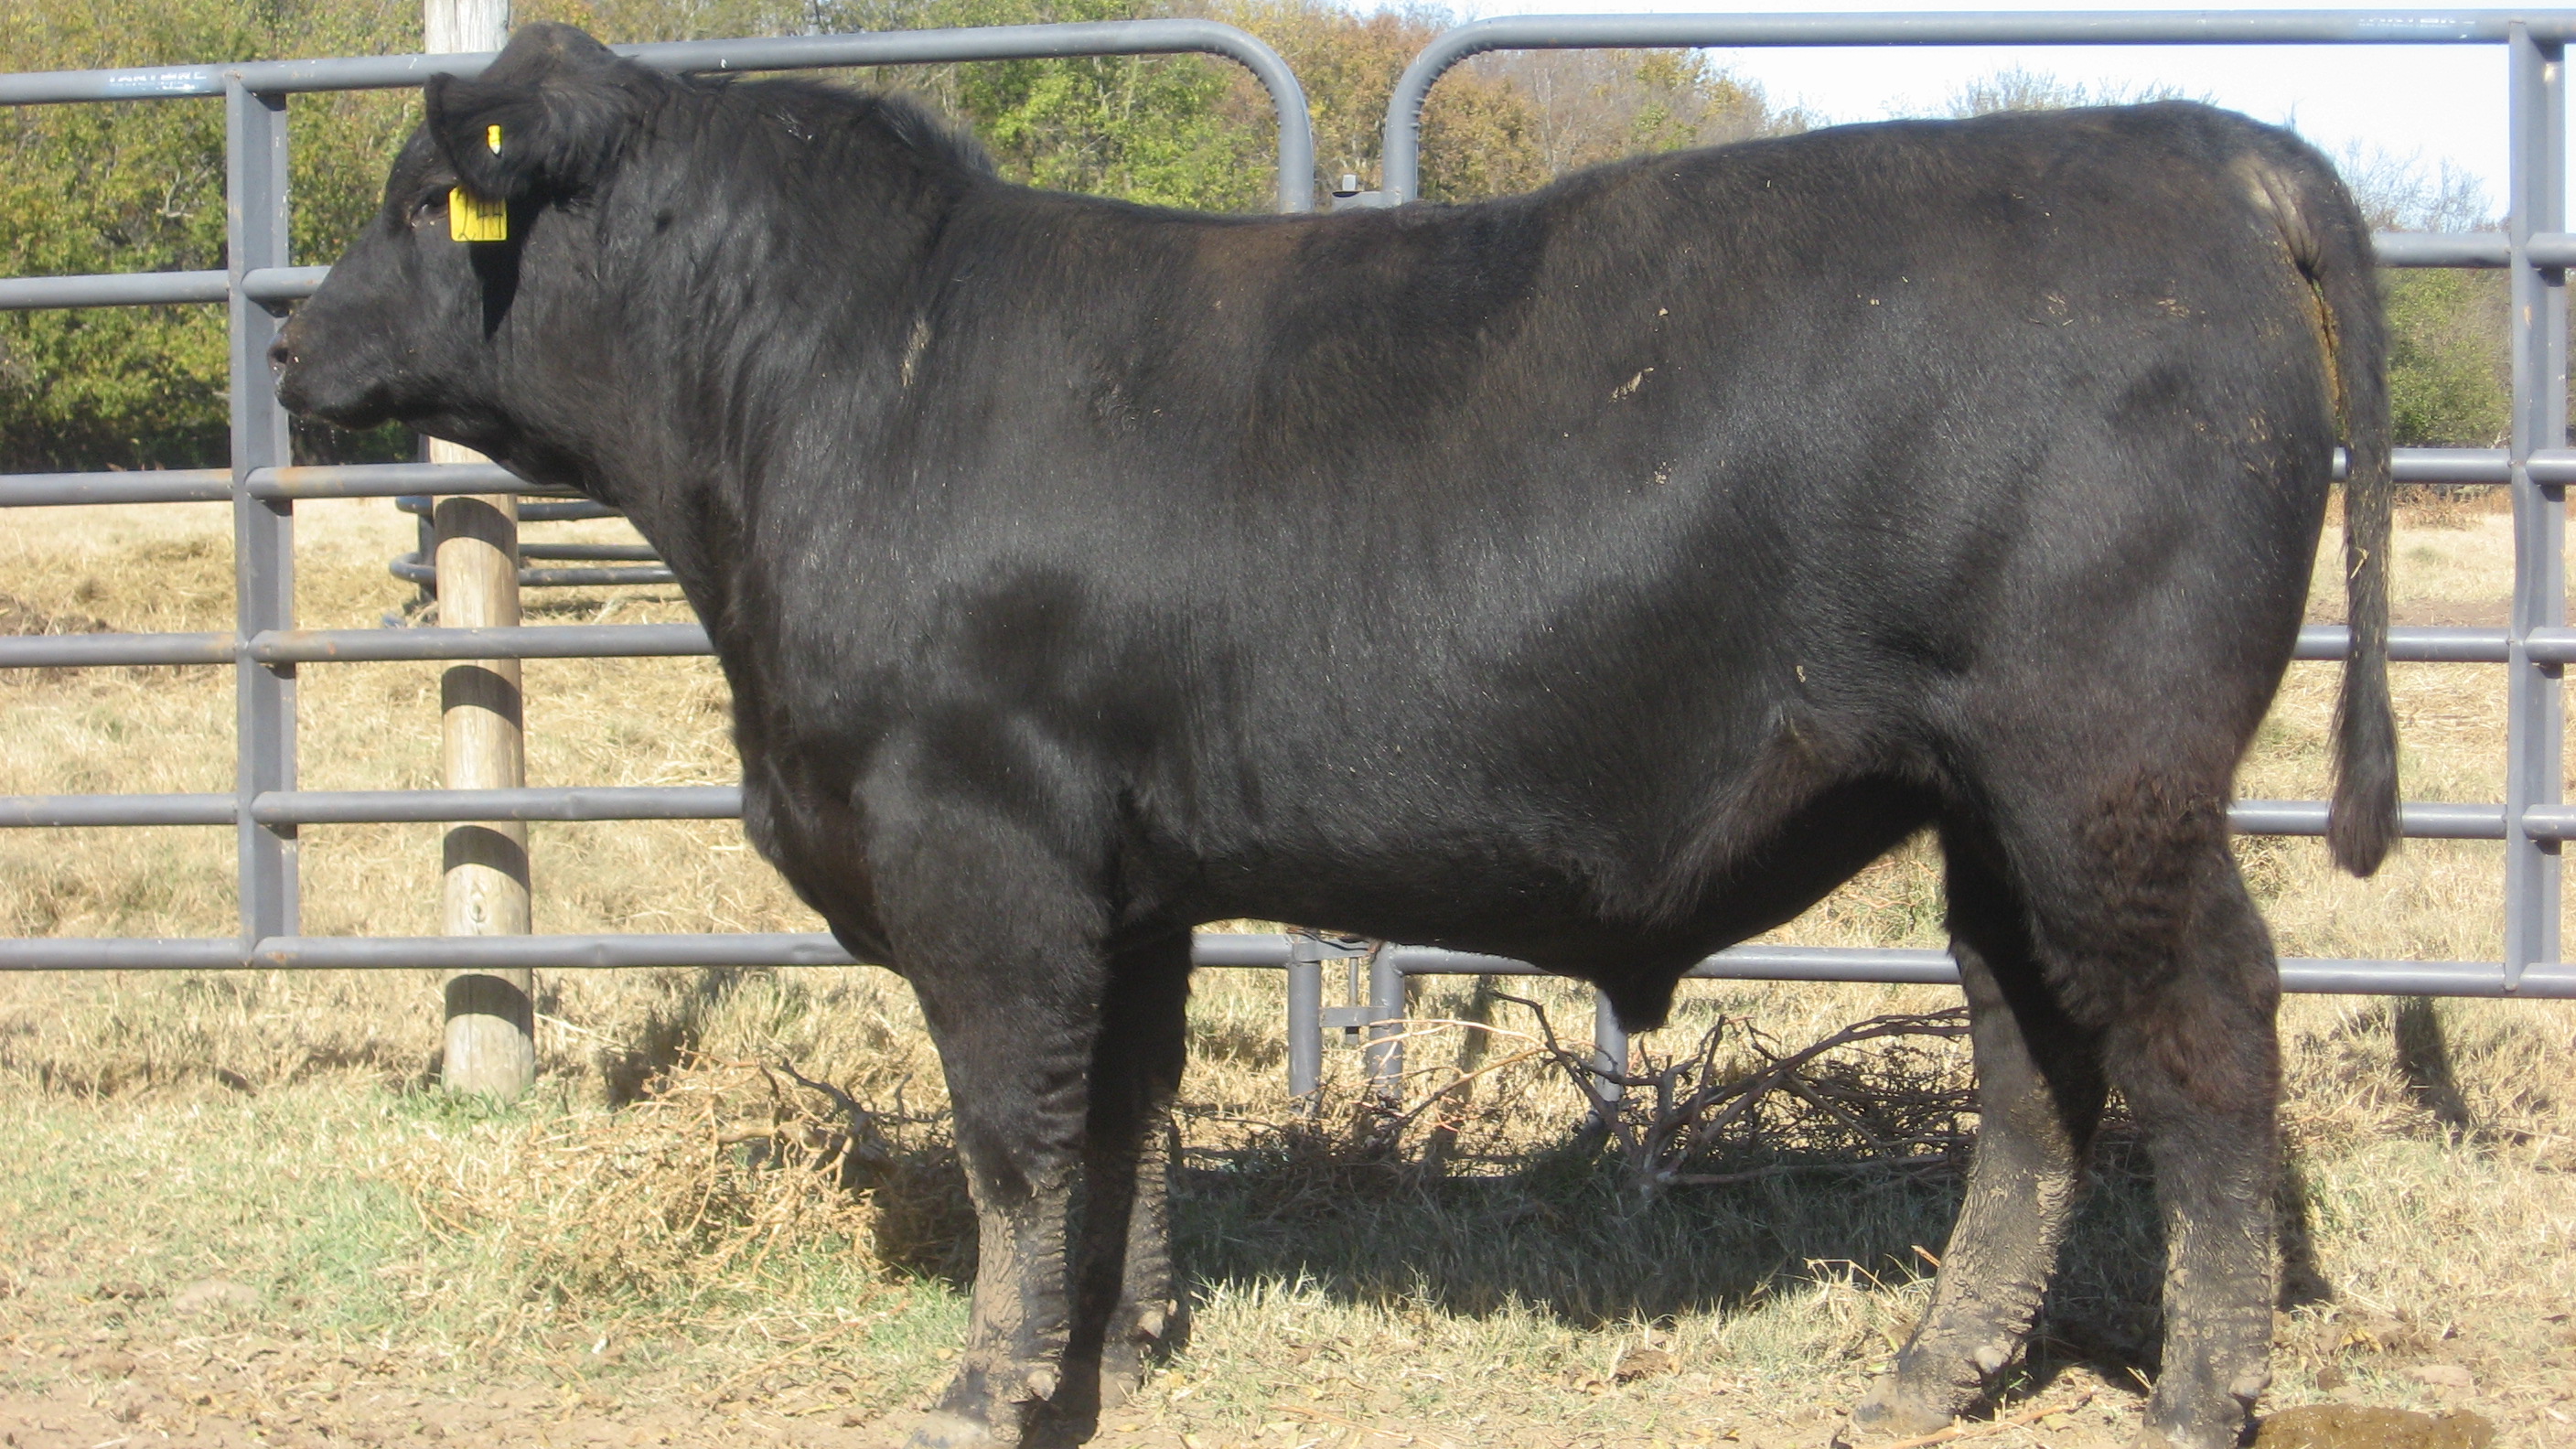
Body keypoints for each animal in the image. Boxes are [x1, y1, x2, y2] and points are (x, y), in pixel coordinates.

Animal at [273, 22, 2396, 1449]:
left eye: (415, 205)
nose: (290, 346)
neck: (834, 379)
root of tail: (2188, 138)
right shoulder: (1124, 873)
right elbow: (1119, 1113)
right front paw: (1116, 1345)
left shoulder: (978, 844)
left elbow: (1010, 1132)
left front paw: (985, 1383)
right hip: (1982, 804)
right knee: (2037, 1060)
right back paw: (1932, 1371)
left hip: (2103, 778)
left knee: (2204, 1039)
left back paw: (2196, 1393)